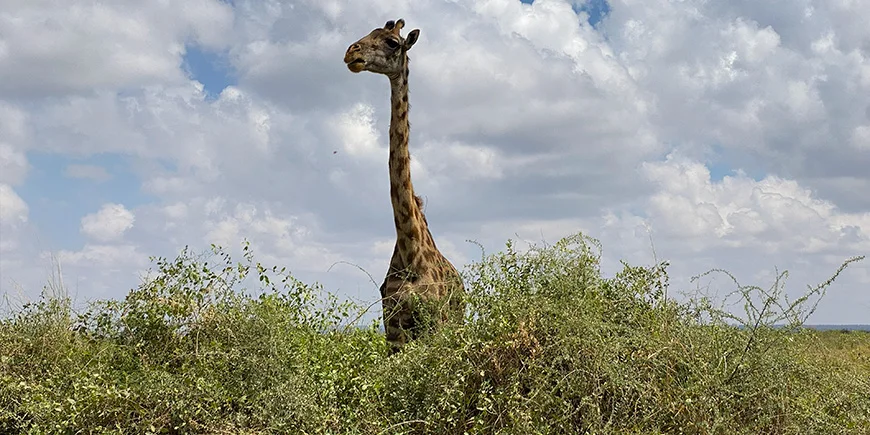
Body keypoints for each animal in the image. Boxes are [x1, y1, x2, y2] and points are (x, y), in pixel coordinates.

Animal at [344, 18, 466, 354]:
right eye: (366, 34)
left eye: (392, 42)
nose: (351, 53)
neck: (411, 250)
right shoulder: (394, 327)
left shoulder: (436, 323)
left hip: (456, 323)